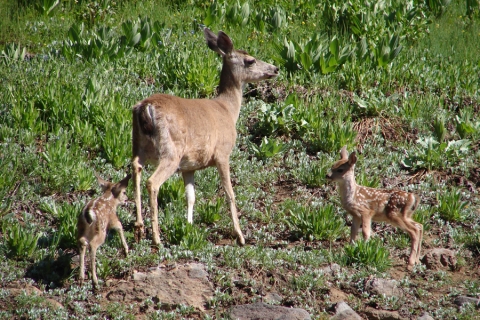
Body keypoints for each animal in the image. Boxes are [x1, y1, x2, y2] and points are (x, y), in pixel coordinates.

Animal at [133, 28, 280, 246]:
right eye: (251, 60)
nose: (275, 68)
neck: (228, 110)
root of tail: (145, 107)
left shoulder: (189, 165)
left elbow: (190, 196)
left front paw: (188, 226)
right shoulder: (222, 153)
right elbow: (229, 193)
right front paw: (240, 235)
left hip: (138, 145)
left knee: (135, 169)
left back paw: (139, 228)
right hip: (171, 150)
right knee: (152, 182)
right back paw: (156, 237)